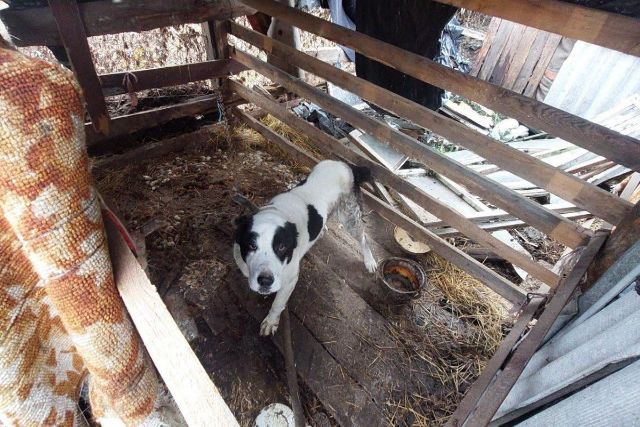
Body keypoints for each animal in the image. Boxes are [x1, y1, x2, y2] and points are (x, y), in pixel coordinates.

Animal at [233, 160, 377, 335]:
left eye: (282, 247)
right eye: (251, 245)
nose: (265, 281)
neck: (278, 213)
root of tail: (349, 165)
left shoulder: (290, 280)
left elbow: (278, 304)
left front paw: (271, 322)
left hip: (350, 217)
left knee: (363, 238)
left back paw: (369, 261)